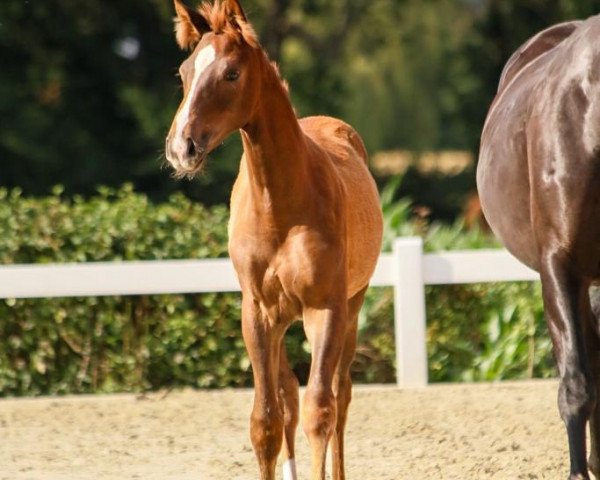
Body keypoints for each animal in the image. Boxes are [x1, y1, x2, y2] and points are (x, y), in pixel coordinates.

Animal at [163, 1, 384, 478]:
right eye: (184, 71)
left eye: (231, 73)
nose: (180, 148)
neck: (279, 209)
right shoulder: (258, 313)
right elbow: (265, 420)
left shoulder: (326, 309)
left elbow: (321, 410)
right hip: (283, 322)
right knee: (288, 397)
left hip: (352, 307)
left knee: (339, 395)